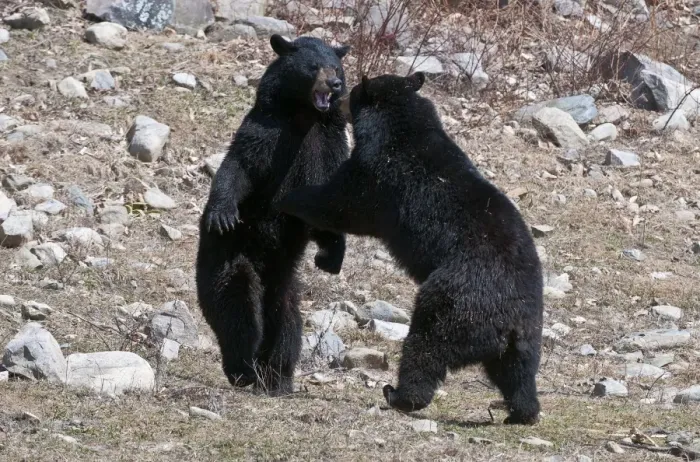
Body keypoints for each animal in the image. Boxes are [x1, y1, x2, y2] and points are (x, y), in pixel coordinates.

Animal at [196, 34, 351, 396]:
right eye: (313, 66)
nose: (335, 84)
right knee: (236, 307)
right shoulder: (267, 134)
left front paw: (332, 255)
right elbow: (240, 166)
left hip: (284, 281)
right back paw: (243, 368)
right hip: (228, 259)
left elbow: (330, 204)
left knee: (287, 321)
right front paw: (222, 214)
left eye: (336, 67)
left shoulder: (328, 147)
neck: (304, 117)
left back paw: (277, 378)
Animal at [275, 73, 544, 424]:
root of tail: (508, 320)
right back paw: (522, 412)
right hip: (526, 336)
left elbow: (340, 204)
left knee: (426, 346)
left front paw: (288, 198)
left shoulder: (379, 174)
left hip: (453, 302)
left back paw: (398, 394)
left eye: (354, 93)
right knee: (518, 373)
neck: (400, 128)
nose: (339, 100)